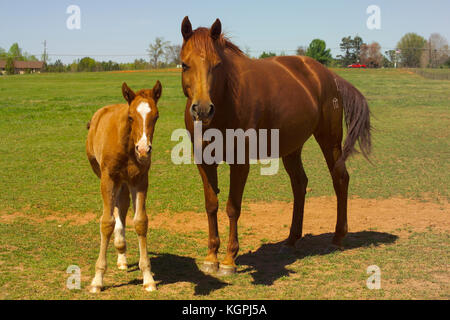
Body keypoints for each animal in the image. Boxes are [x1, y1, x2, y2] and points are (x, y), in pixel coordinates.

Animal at [86, 80, 162, 292]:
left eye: (156, 116)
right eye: (130, 117)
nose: (143, 149)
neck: (127, 145)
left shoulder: (140, 180)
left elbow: (140, 222)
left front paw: (148, 277)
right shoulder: (108, 179)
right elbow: (106, 222)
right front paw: (97, 280)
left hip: (125, 181)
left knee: (122, 204)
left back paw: (121, 251)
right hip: (107, 176)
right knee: (115, 208)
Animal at [180, 18, 372, 276]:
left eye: (217, 65)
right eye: (184, 65)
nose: (202, 109)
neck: (227, 99)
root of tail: (329, 75)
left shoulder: (240, 162)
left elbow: (233, 207)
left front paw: (229, 260)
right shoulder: (203, 160)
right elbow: (211, 205)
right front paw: (211, 257)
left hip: (329, 139)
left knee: (340, 178)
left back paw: (337, 238)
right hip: (292, 147)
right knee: (299, 184)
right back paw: (291, 240)